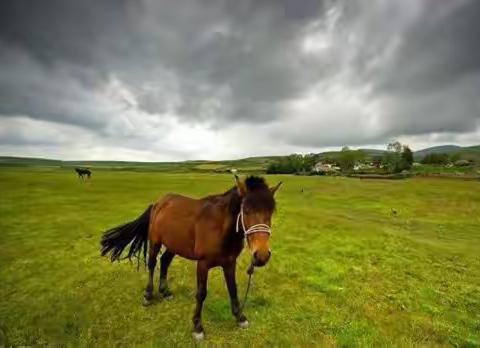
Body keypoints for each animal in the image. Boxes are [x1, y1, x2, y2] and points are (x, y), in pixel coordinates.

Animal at [101, 175, 282, 338]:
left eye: (271, 211)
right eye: (246, 210)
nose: (262, 255)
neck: (220, 228)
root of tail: (158, 203)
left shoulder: (229, 262)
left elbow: (233, 289)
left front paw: (240, 317)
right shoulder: (203, 264)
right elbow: (201, 293)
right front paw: (197, 327)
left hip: (174, 244)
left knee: (164, 261)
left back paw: (165, 291)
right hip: (155, 242)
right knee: (152, 264)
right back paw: (148, 295)